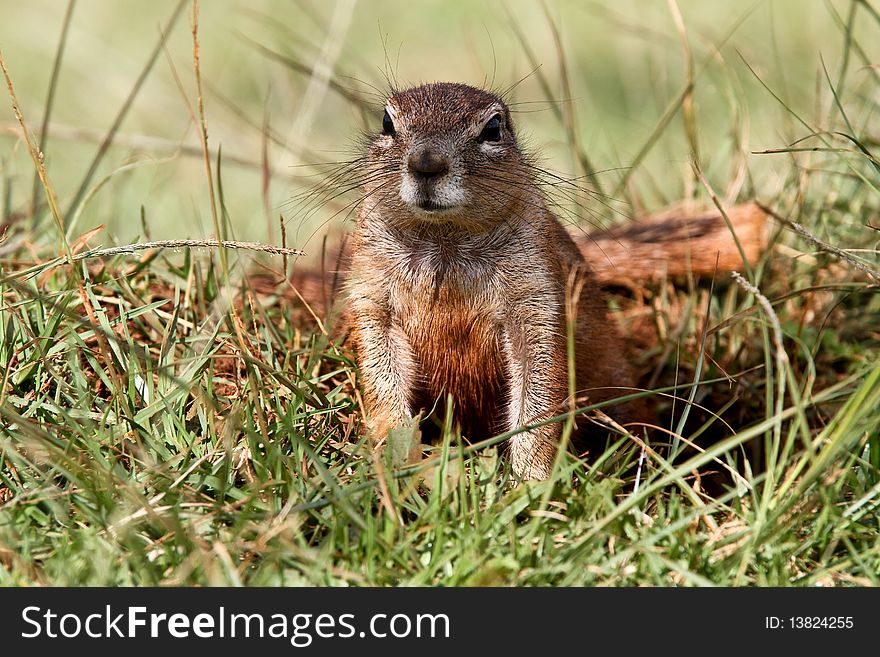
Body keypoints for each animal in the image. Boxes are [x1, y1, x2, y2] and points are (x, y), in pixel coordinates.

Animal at [348, 84, 648, 480]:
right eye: (386, 122)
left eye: (493, 128)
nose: (426, 164)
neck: (445, 240)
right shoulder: (372, 296)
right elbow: (382, 378)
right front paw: (392, 457)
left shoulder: (535, 299)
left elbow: (536, 393)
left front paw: (532, 479)